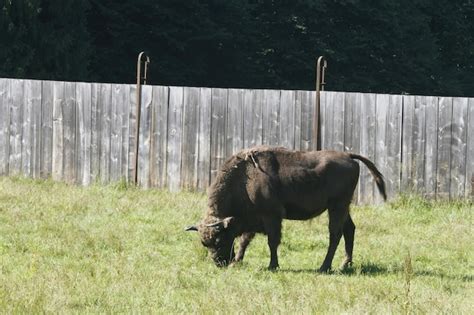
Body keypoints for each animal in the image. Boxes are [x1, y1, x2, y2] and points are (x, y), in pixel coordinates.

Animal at [185, 146, 386, 272]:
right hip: (343, 207)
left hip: (337, 206)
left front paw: (272, 265)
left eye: (220, 239)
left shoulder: (272, 217)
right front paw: (237, 261)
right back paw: (345, 264)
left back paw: (324, 267)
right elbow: (244, 241)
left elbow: (272, 242)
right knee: (349, 229)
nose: (220, 263)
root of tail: (348, 156)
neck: (245, 179)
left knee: (335, 234)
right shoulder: (252, 220)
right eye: (204, 243)